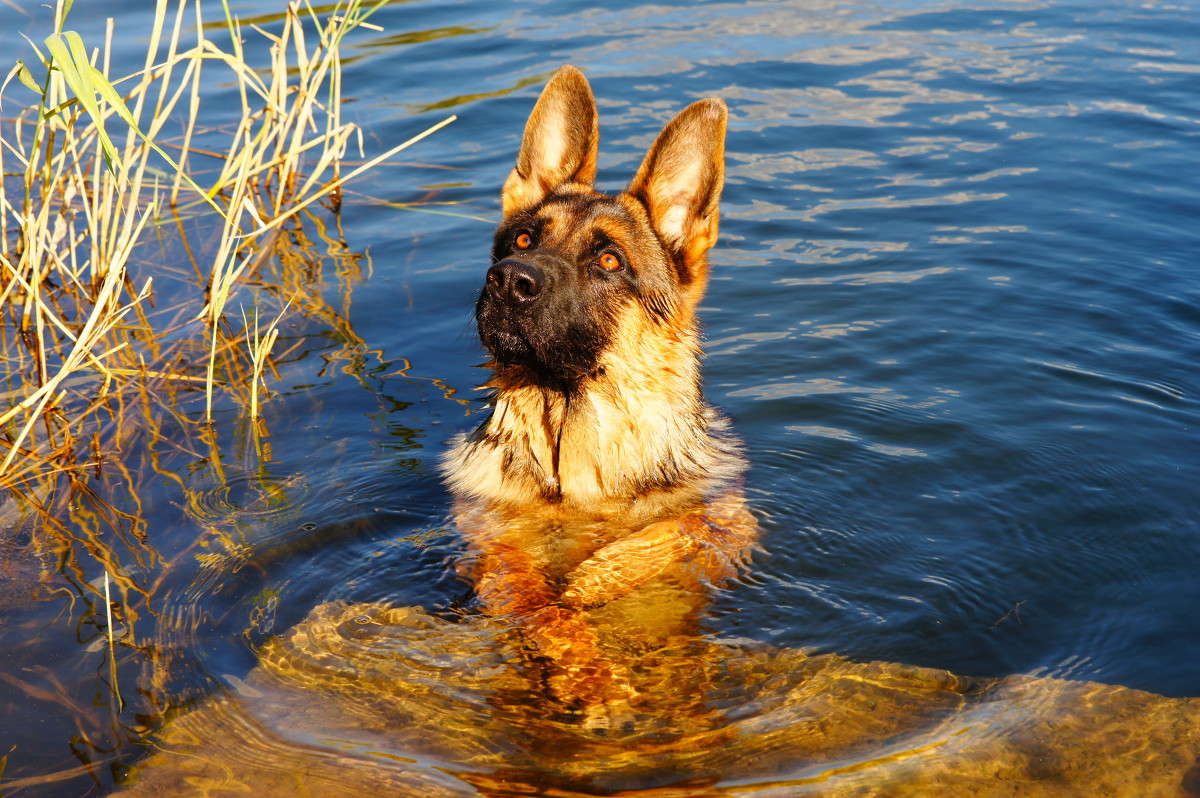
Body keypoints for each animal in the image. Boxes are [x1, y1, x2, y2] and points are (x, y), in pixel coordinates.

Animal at [446, 66, 753, 715]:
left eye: (610, 260)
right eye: (523, 242)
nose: (507, 281)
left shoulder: (734, 524)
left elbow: (674, 529)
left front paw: (594, 576)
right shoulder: (482, 542)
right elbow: (525, 586)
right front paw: (589, 672)